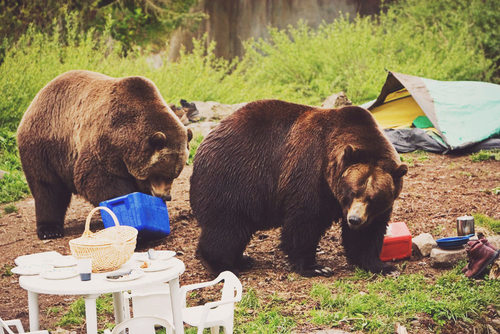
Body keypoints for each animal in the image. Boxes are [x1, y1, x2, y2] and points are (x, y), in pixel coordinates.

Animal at [16, 69, 190, 239]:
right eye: (160, 173)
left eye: (174, 175)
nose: (166, 196)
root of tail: (37, 98)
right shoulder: (104, 142)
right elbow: (98, 180)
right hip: (45, 146)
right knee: (47, 187)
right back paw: (49, 229)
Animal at [189, 99, 408, 276]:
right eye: (352, 192)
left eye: (374, 197)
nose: (354, 219)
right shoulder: (311, 171)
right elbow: (305, 221)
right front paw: (316, 267)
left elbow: (368, 233)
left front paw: (383, 266)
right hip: (234, 180)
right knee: (226, 227)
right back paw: (222, 265)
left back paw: (242, 259)